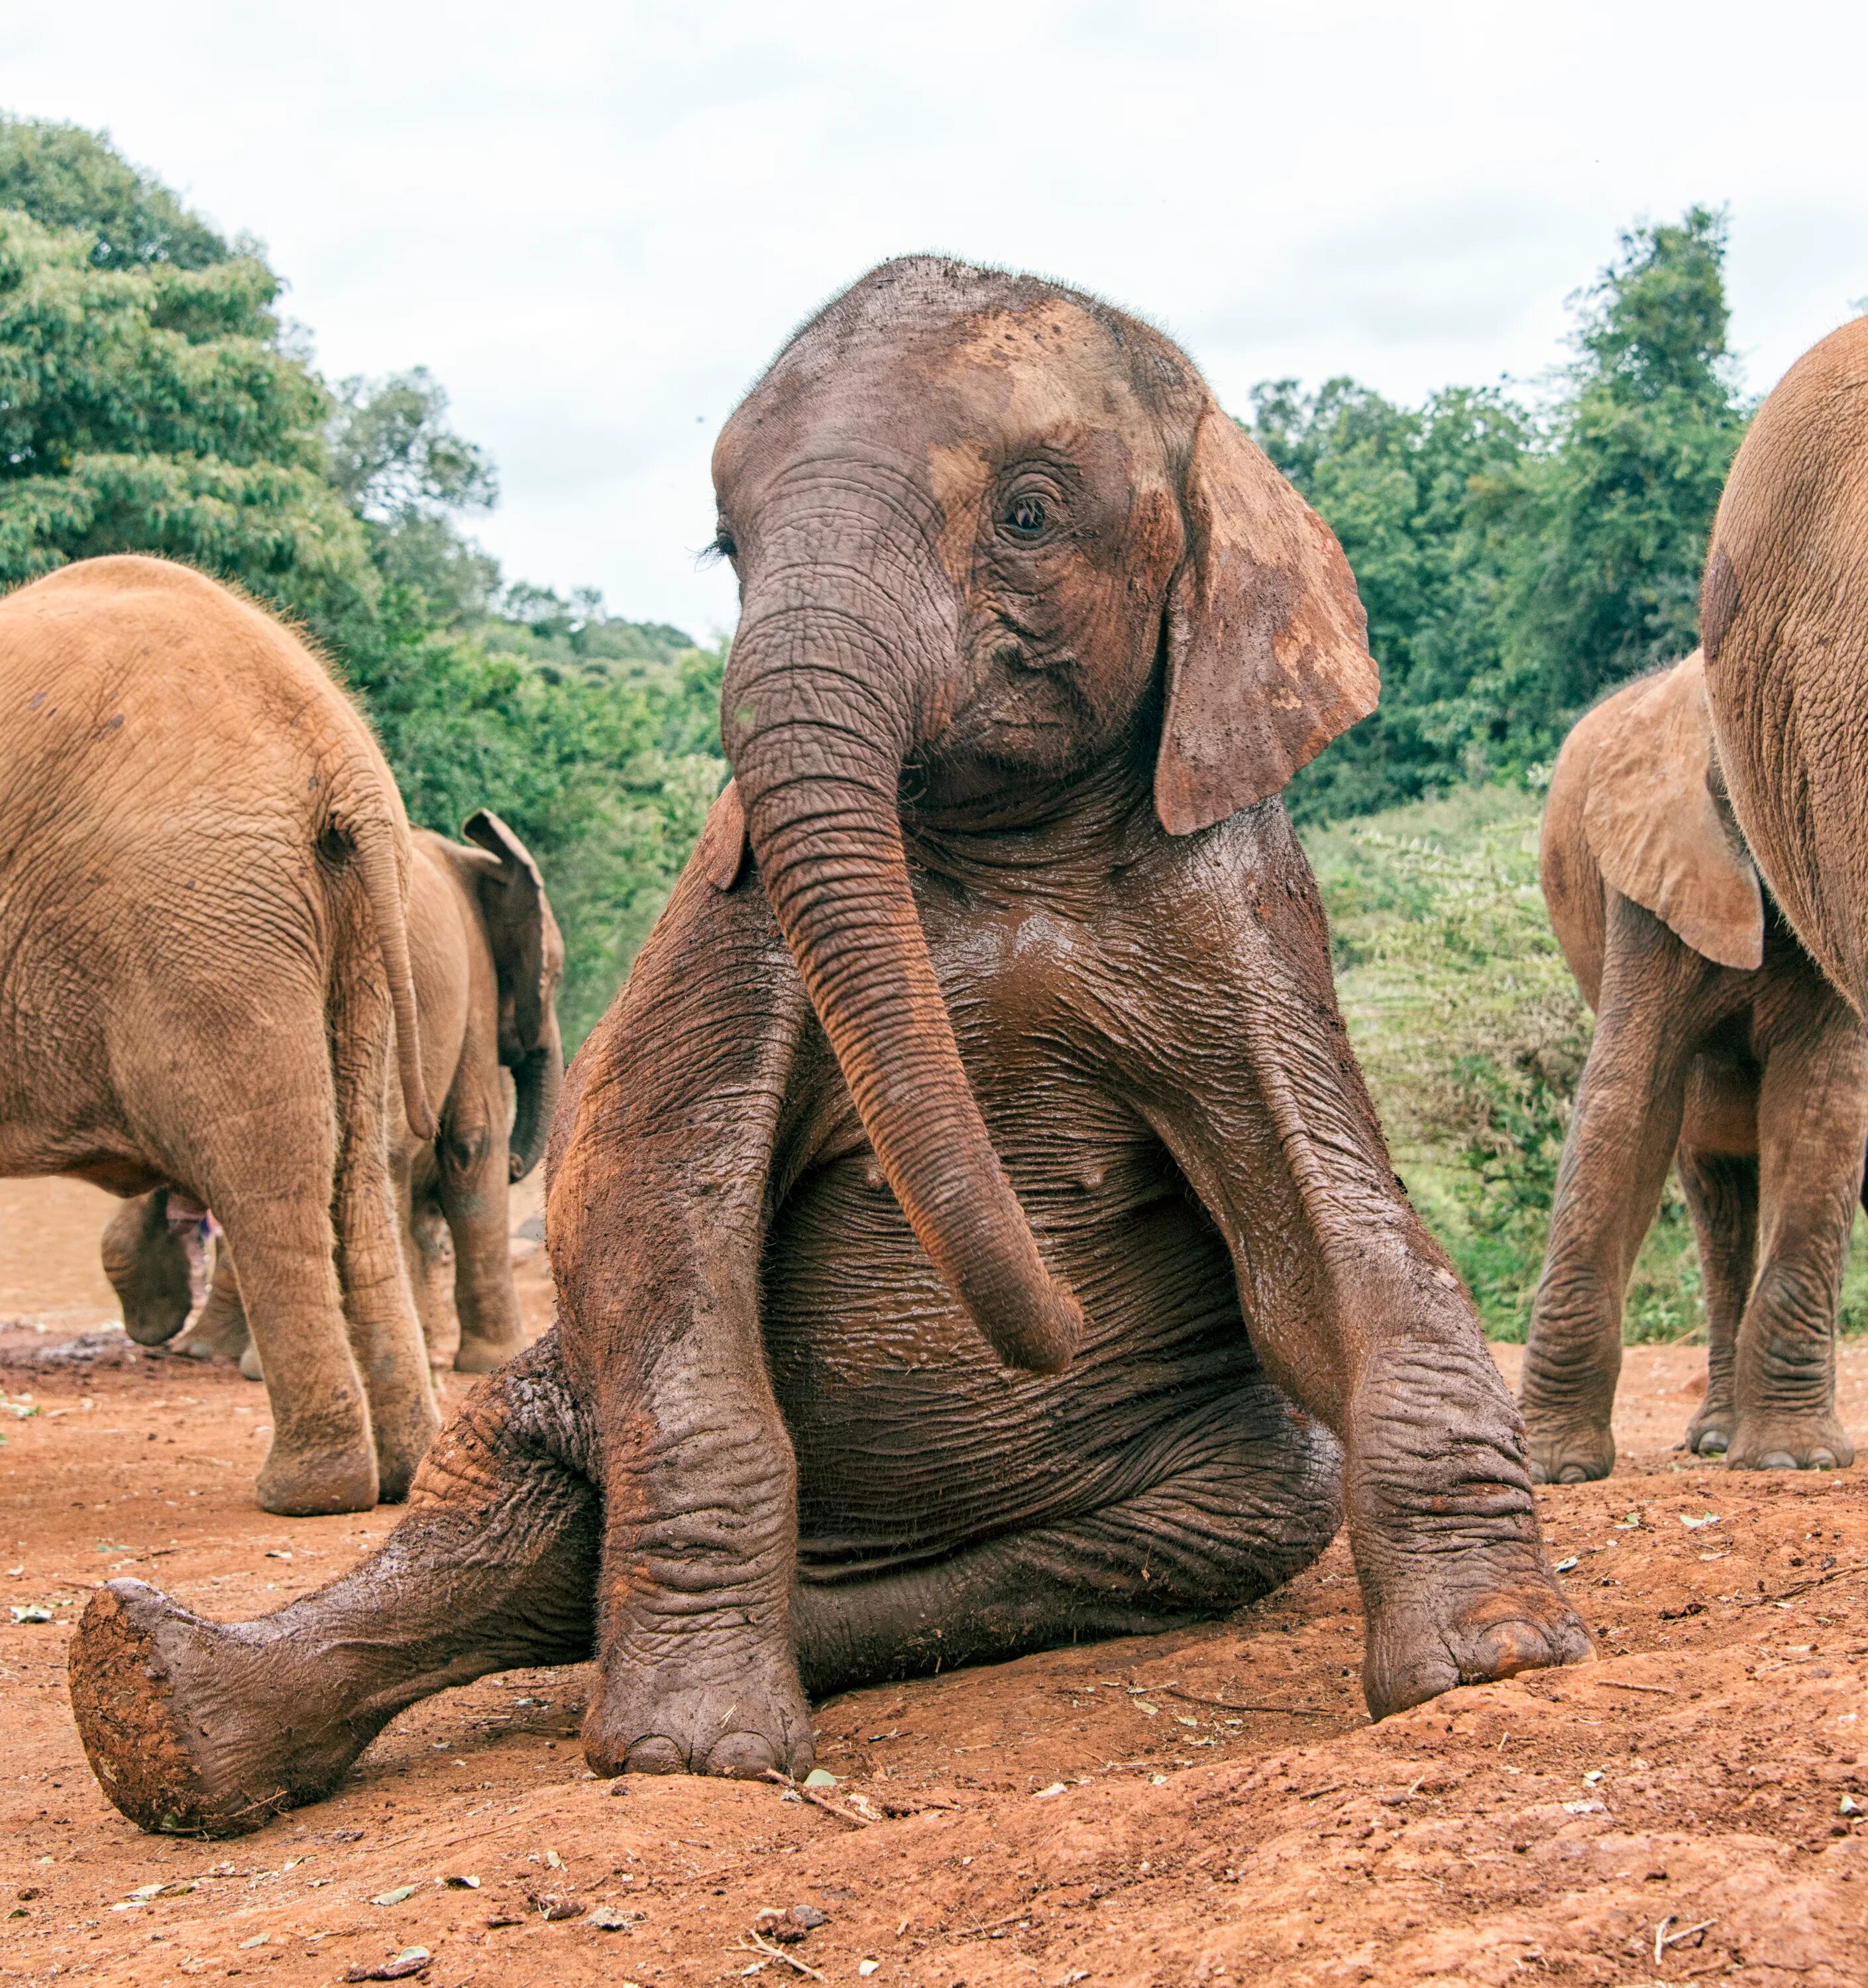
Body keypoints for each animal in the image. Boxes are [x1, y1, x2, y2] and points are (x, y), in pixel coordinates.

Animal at [0, 553, 439, 1511]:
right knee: (357, 1177)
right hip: (348, 931)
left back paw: (308, 1491)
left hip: (197, 917)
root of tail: (334, 750)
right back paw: (402, 1471)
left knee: (268, 1173)